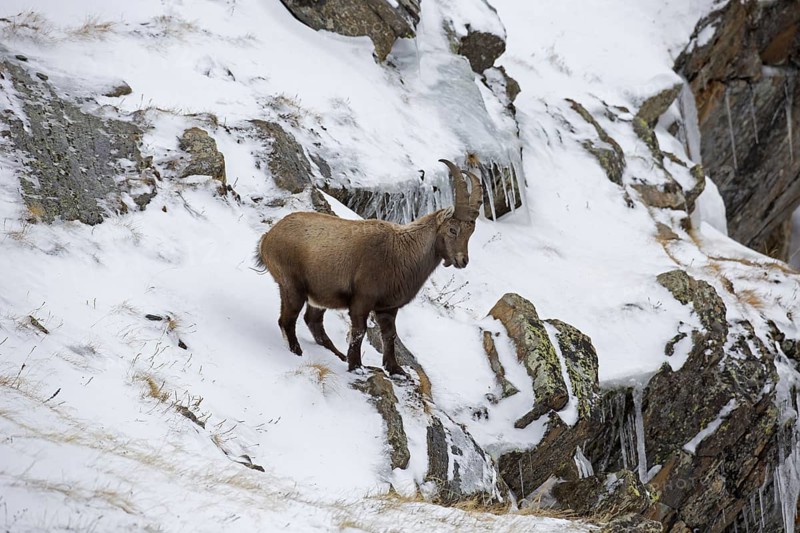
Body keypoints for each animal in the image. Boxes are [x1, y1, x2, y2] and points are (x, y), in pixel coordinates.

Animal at [256, 159, 482, 376]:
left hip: (319, 295)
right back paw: (298, 351)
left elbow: (390, 335)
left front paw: (396, 370)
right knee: (287, 320)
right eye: (452, 229)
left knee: (312, 321)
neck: (401, 252)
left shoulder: (388, 308)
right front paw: (356, 367)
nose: (462, 261)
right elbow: (359, 332)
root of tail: (268, 237)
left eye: (471, 232)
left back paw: (338, 355)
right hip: (292, 286)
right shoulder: (362, 300)